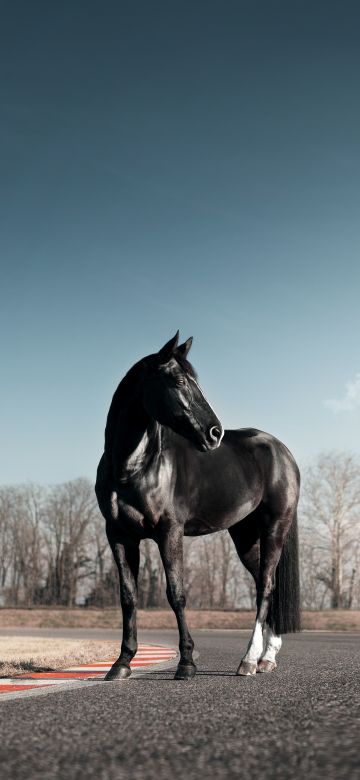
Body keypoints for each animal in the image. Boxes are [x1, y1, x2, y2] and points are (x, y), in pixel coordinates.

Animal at [94, 332, 300, 680]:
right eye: (178, 380)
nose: (214, 433)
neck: (133, 467)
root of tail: (283, 451)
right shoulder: (119, 535)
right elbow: (128, 597)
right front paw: (121, 663)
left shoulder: (169, 532)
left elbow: (176, 594)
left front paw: (187, 662)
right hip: (245, 536)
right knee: (265, 584)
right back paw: (267, 658)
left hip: (275, 528)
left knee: (266, 586)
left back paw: (249, 660)